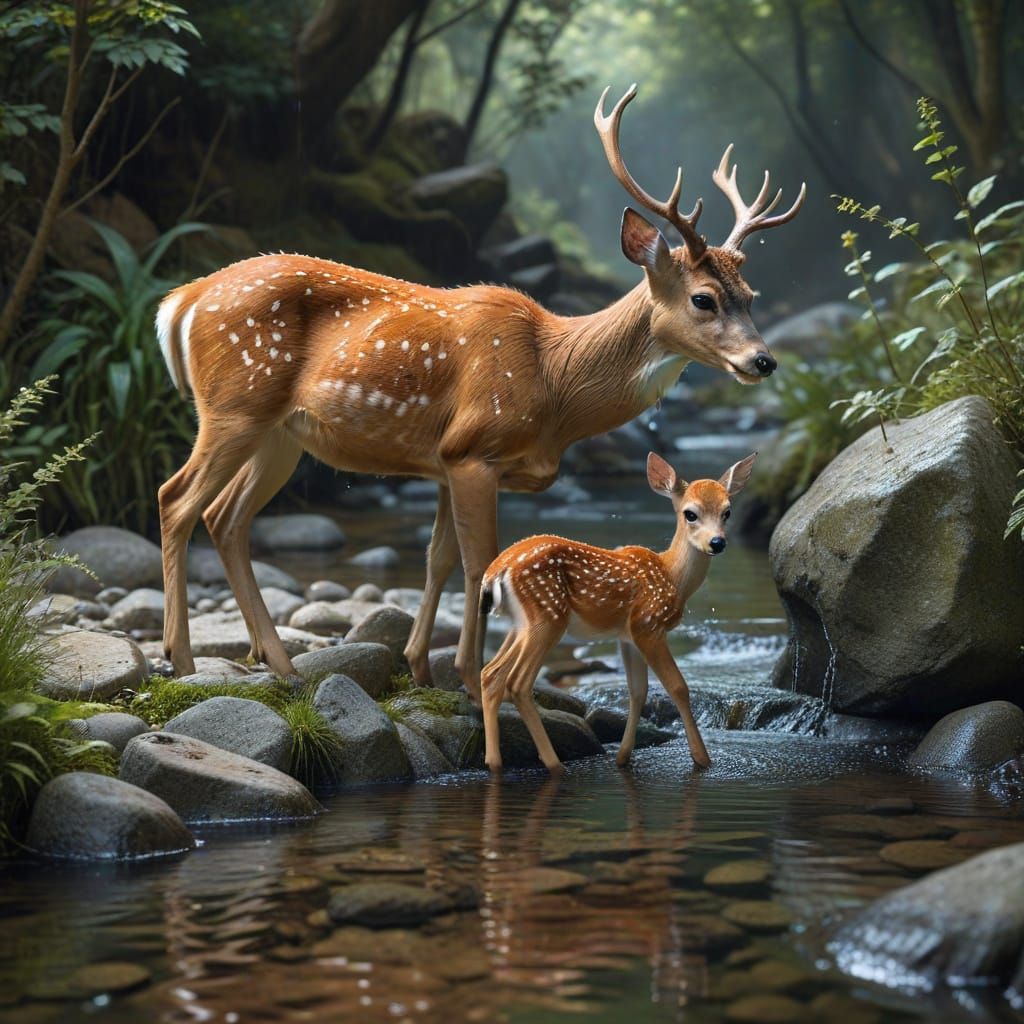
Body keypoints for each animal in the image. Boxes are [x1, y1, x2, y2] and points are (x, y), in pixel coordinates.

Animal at [155, 83, 803, 697]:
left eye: (751, 296)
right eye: (703, 298)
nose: (764, 360)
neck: (554, 382)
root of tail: (180, 301)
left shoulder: (444, 460)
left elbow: (437, 560)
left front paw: (420, 665)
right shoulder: (472, 449)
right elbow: (478, 563)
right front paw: (467, 677)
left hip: (282, 434)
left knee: (225, 517)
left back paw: (280, 663)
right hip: (234, 403)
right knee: (176, 498)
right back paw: (182, 659)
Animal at [478, 451, 757, 774]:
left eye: (727, 512)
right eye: (690, 513)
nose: (717, 542)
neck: (672, 577)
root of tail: (497, 571)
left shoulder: (628, 635)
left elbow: (638, 692)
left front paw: (623, 757)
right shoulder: (649, 624)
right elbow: (678, 687)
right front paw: (702, 760)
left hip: (521, 624)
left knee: (491, 674)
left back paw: (494, 762)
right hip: (548, 616)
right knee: (518, 683)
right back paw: (554, 764)